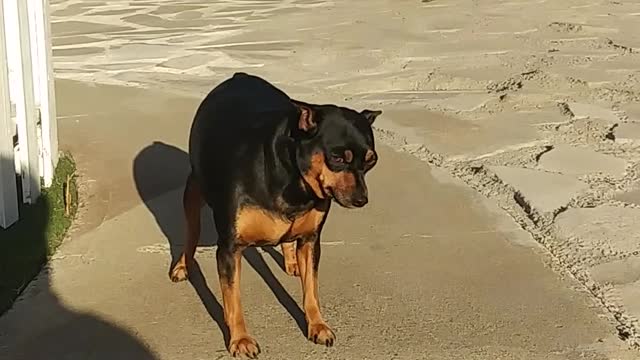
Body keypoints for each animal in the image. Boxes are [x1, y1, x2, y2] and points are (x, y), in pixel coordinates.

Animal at [169, 72, 380, 358]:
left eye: (371, 161)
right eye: (337, 158)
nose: (361, 200)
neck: (295, 182)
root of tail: (239, 75)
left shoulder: (311, 241)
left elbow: (311, 290)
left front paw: (317, 325)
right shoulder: (229, 248)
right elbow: (233, 300)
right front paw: (240, 339)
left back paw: (291, 261)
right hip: (195, 187)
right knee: (192, 230)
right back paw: (182, 265)